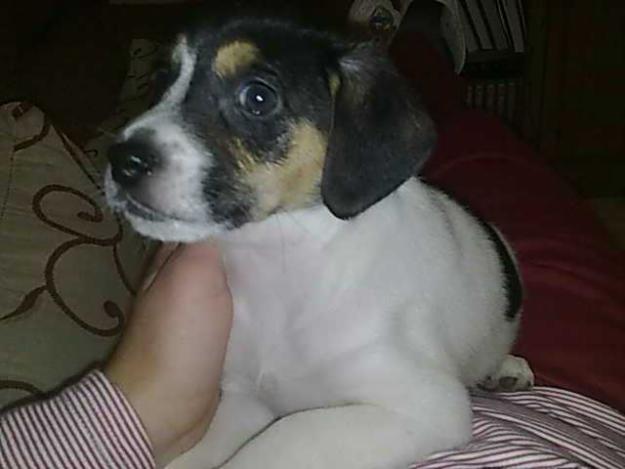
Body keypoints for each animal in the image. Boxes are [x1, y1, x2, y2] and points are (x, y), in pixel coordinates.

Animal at [106, 16, 532, 468]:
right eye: (161, 81)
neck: (279, 270)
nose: (122, 162)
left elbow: (276, 444)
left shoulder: (424, 404)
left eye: (258, 97)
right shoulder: (244, 403)